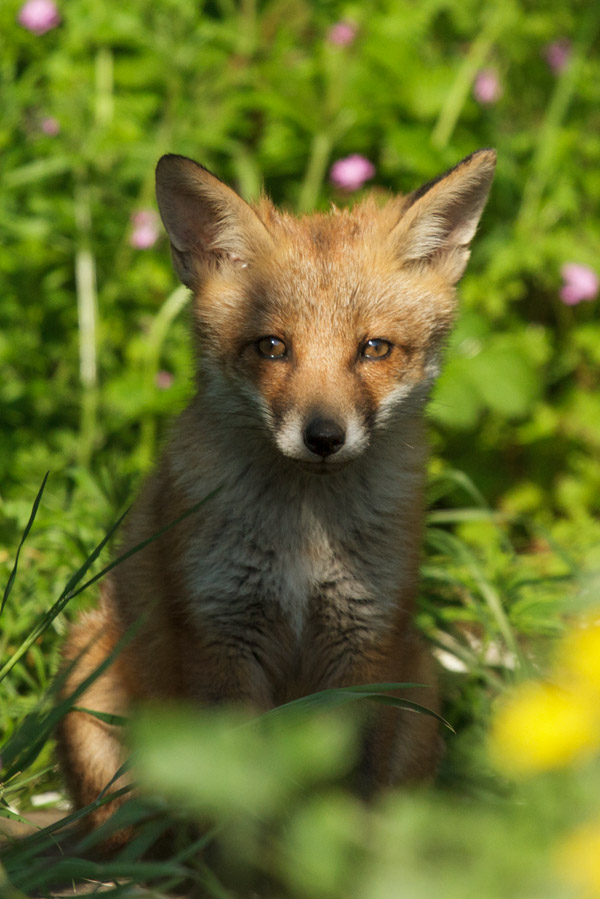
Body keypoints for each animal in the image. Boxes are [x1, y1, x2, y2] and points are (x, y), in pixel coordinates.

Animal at [56, 148, 496, 837]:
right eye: (271, 346)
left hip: (420, 684)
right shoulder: (220, 638)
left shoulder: (363, 642)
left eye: (374, 349)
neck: (304, 541)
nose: (323, 437)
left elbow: (346, 793)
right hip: (86, 677)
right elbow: (239, 795)